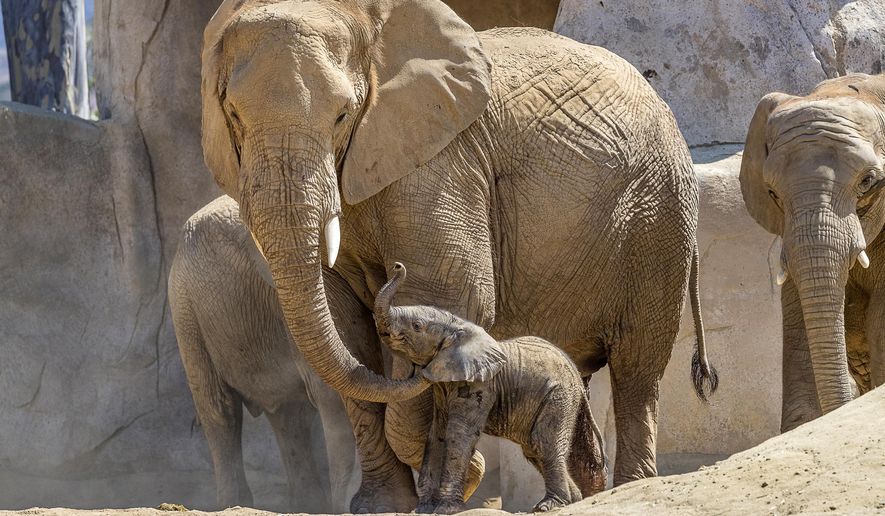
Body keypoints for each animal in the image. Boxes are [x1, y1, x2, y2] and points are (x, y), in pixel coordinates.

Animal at [169, 195, 377, 512]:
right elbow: (337, 396)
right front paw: (348, 506)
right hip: (186, 309)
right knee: (220, 409)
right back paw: (233, 504)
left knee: (289, 416)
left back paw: (306, 504)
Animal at [373, 262, 606, 514]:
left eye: (417, 326)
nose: (398, 265)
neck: (458, 326)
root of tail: (577, 376)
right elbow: (437, 434)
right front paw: (423, 510)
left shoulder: (481, 385)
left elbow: (458, 433)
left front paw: (446, 509)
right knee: (533, 450)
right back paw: (573, 499)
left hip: (559, 395)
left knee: (543, 443)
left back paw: (548, 505)